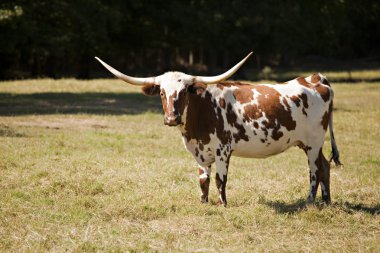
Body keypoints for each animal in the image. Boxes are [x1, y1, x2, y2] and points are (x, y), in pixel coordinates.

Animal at [95, 53, 342, 206]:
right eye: (162, 93)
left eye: (183, 92)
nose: (172, 118)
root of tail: (315, 78)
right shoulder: (199, 151)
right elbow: (203, 180)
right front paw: (204, 204)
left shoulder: (223, 149)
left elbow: (219, 179)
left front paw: (223, 204)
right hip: (309, 144)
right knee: (325, 166)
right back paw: (326, 201)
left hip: (313, 143)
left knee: (315, 170)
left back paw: (310, 201)